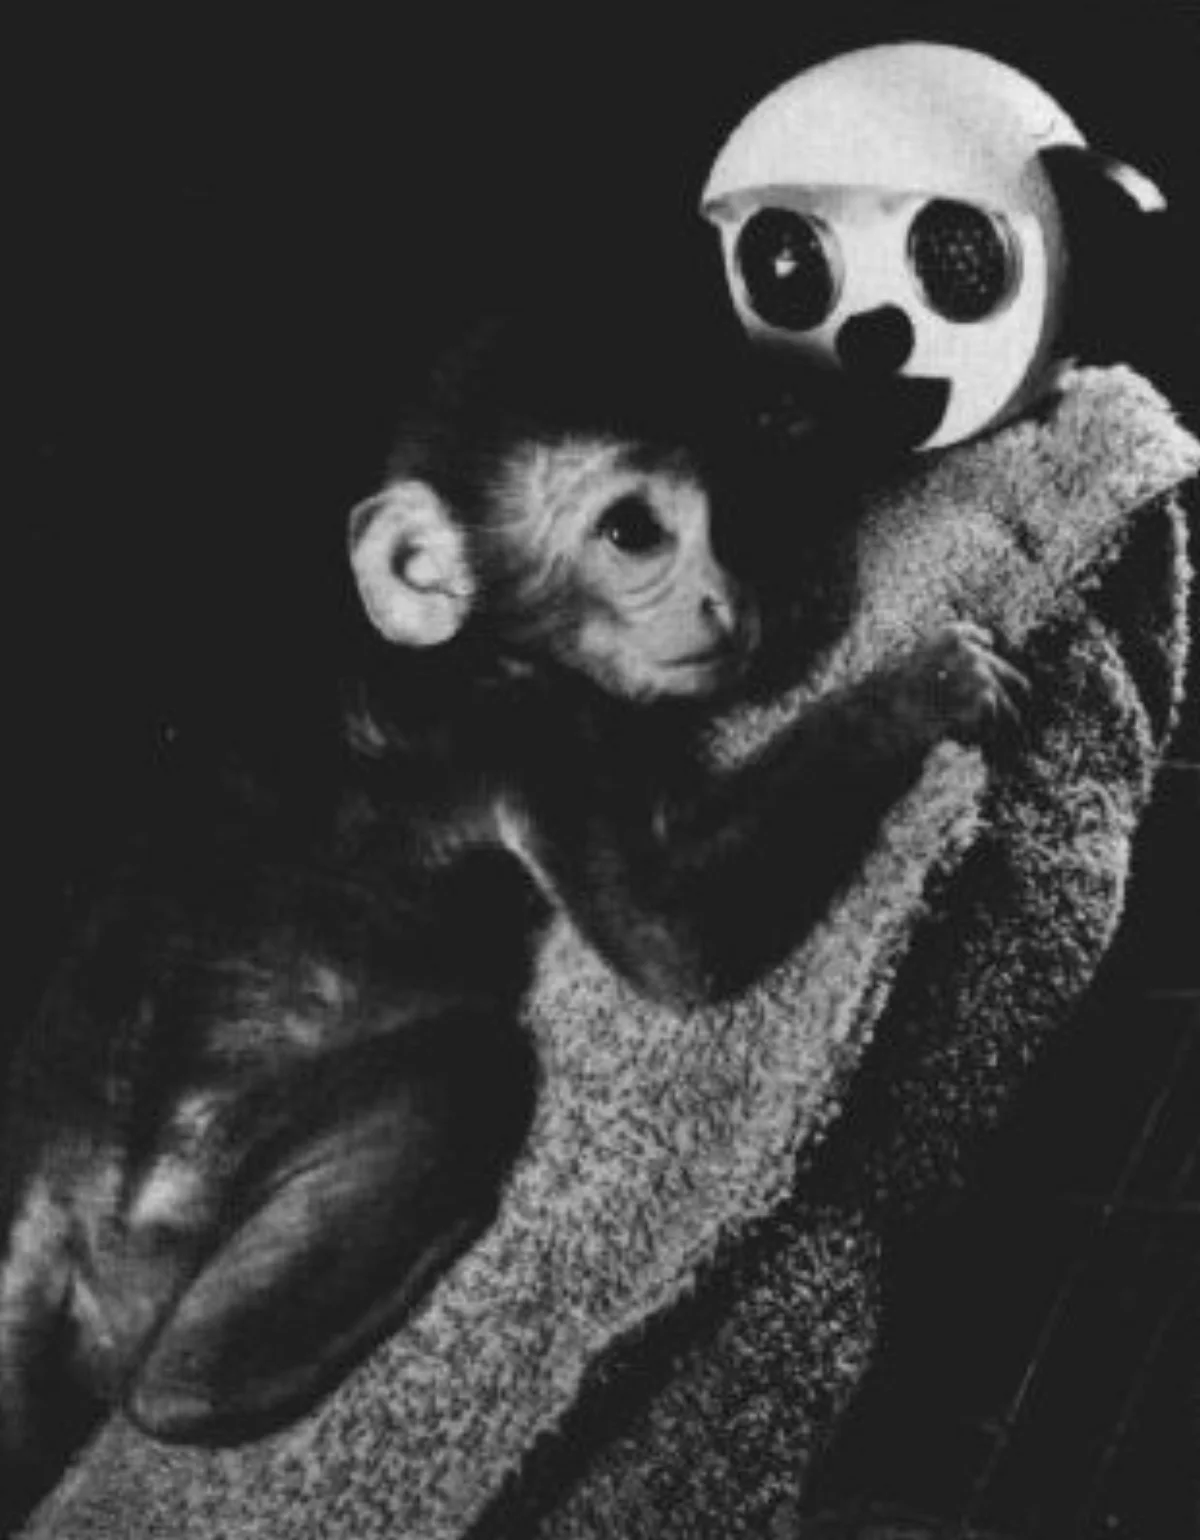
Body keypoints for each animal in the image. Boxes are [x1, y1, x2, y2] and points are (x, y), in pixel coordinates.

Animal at [0, 309, 1023, 1531]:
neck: (462, 638)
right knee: (461, 1075)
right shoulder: (523, 723)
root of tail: (53, 1205)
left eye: (731, 508)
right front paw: (920, 688)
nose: (725, 599)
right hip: (179, 1200)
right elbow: (669, 939)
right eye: (633, 530)